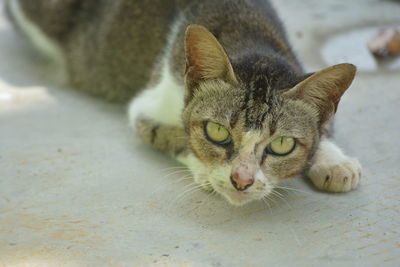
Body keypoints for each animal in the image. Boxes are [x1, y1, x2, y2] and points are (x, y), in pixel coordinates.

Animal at [7, 0, 360, 207]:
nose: (241, 180)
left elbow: (325, 127)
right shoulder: (146, 106)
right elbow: (173, 135)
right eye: (217, 131)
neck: (249, 37)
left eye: (283, 144)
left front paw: (334, 162)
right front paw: (205, 170)